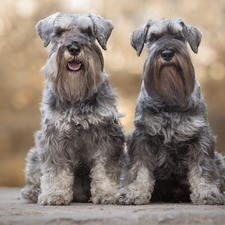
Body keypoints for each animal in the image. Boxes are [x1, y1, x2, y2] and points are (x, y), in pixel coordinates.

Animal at [20, 12, 125, 206]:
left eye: (88, 31)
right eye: (59, 32)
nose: (74, 48)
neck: (76, 96)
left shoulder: (107, 135)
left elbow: (106, 168)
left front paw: (107, 194)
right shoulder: (53, 136)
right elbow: (55, 170)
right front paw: (54, 194)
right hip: (34, 155)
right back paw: (33, 192)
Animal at [117, 18, 225, 206]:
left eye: (178, 36)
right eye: (153, 37)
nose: (167, 53)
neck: (170, 98)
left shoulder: (200, 137)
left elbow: (203, 168)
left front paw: (207, 193)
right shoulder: (142, 137)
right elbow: (139, 169)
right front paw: (134, 193)